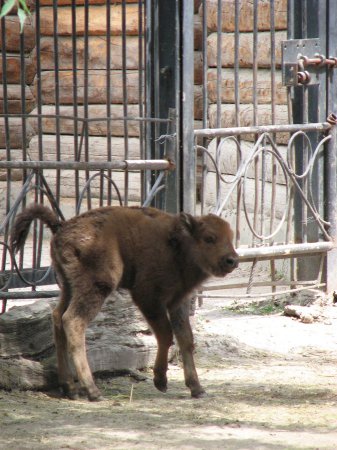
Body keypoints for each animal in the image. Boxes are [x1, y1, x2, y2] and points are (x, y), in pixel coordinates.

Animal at [10, 204, 236, 400]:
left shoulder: (177, 301)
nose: (232, 260)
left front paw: (197, 388)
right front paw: (160, 381)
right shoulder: (148, 298)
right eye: (209, 238)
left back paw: (69, 388)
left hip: (68, 287)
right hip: (97, 286)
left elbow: (186, 339)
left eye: (231, 237)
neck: (178, 244)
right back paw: (93, 391)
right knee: (73, 321)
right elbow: (166, 335)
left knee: (57, 317)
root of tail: (61, 226)